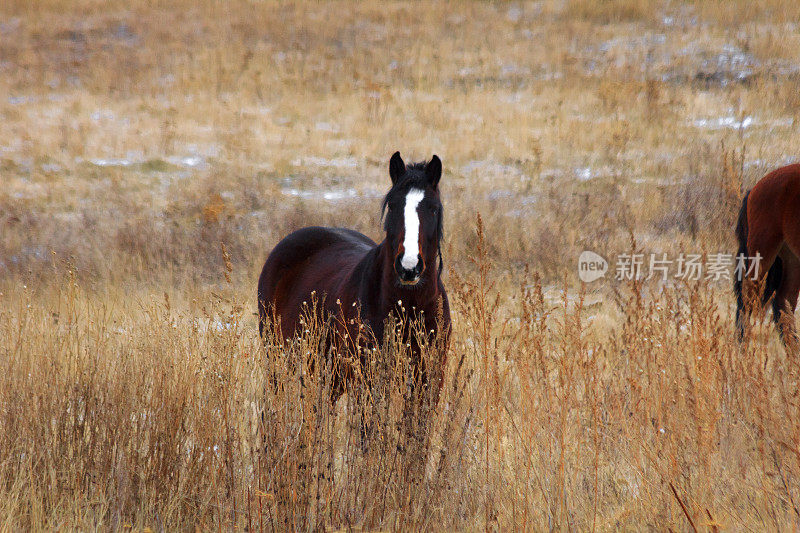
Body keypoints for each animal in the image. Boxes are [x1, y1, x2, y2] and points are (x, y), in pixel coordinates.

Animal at [260, 154, 454, 404]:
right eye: (393, 205)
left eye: (433, 209)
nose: (409, 267)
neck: (409, 306)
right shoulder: (367, 382)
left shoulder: (428, 380)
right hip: (276, 361)